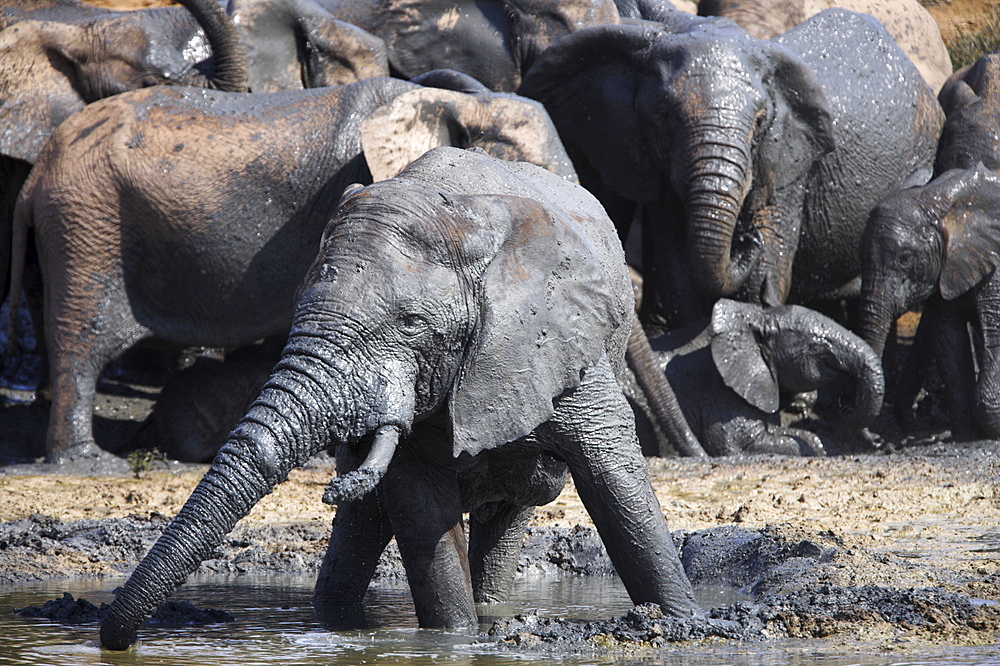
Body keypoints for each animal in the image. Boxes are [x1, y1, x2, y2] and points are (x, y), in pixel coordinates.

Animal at [97, 147, 700, 648]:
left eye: (411, 324)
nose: (116, 640)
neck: (460, 212)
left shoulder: (555, 340)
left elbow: (615, 476)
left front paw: (680, 618)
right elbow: (419, 500)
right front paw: (453, 640)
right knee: (365, 527)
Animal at [516, 9, 944, 330]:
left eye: (760, 122)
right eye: (664, 116)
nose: (747, 240)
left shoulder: (787, 168)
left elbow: (758, 284)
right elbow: (680, 282)